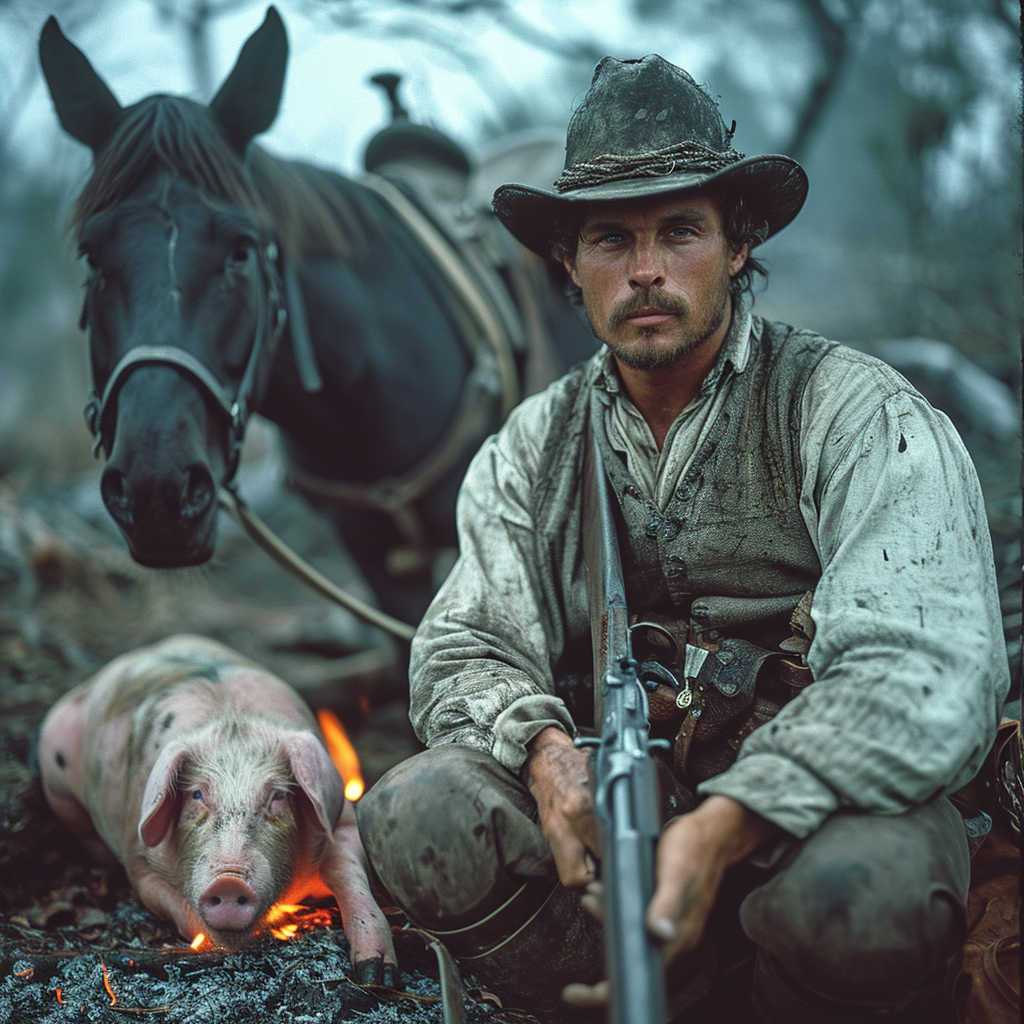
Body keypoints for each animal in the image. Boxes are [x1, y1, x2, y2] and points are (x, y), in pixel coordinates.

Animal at [37, 630, 395, 983]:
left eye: (277, 797)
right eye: (196, 794)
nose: (229, 880)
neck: (230, 720)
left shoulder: (344, 823)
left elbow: (349, 876)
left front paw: (377, 975)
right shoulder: (138, 858)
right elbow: (182, 912)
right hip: (56, 778)